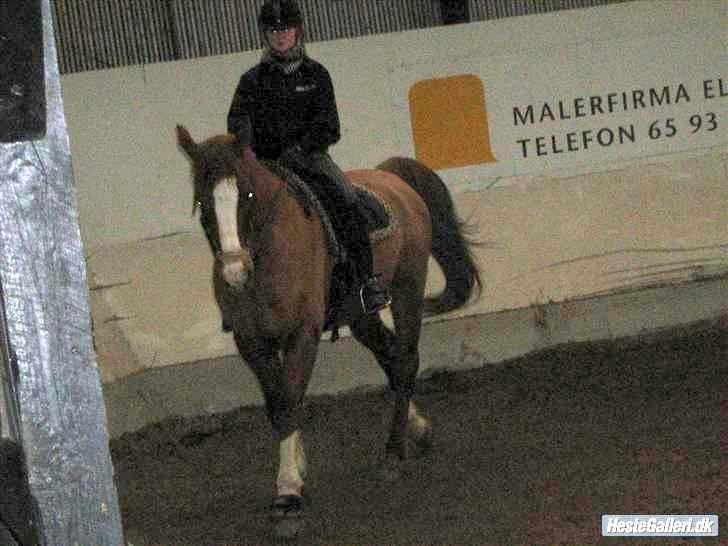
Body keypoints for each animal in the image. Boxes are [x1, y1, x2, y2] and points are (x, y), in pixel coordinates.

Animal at [176, 124, 484, 536]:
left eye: (248, 194)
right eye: (202, 200)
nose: (234, 271)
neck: (267, 256)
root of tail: (390, 176)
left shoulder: (301, 335)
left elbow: (289, 400)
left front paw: (289, 489)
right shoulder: (251, 342)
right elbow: (277, 403)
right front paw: (297, 467)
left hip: (407, 289)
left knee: (405, 359)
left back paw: (393, 453)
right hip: (360, 314)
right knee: (390, 357)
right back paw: (416, 429)